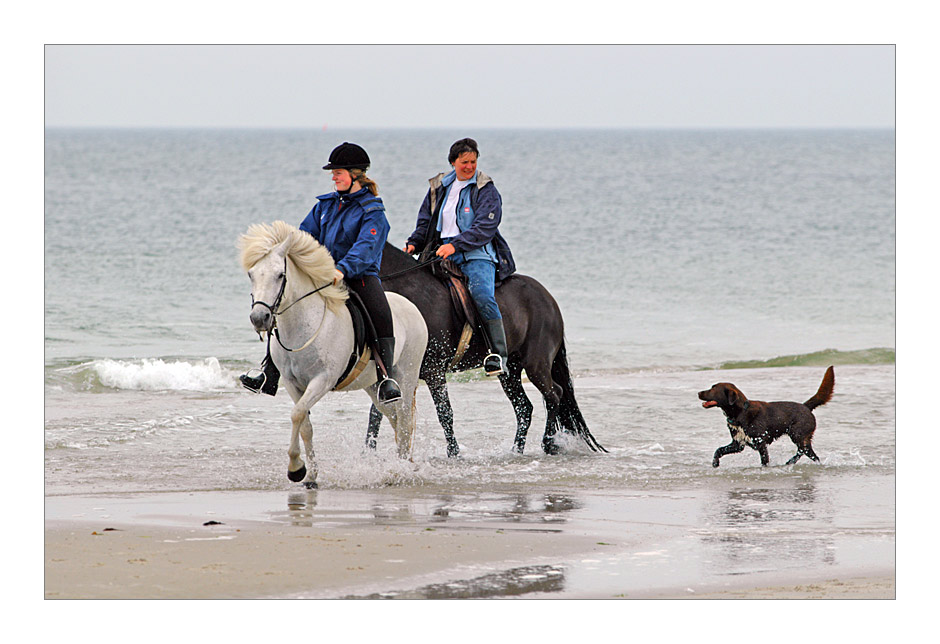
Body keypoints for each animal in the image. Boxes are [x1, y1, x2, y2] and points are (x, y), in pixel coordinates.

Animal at [237, 223, 428, 488]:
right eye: (251, 274)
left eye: (280, 275)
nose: (259, 318)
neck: (303, 325)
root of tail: (412, 307)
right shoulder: (292, 383)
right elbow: (304, 424)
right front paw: (309, 475)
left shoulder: (323, 380)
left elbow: (297, 415)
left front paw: (295, 469)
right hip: (373, 385)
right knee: (395, 419)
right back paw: (403, 465)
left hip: (407, 378)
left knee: (405, 421)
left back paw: (401, 470)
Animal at [364, 242, 604, 458]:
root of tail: (548, 298)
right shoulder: (392, 373)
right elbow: (377, 413)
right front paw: (368, 452)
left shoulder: (434, 370)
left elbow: (444, 413)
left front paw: (454, 453)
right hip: (510, 371)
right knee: (525, 407)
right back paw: (516, 451)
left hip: (537, 364)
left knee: (554, 394)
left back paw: (549, 444)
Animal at [696, 368, 836, 468]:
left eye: (713, 388)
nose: (698, 392)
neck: (740, 412)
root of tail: (806, 406)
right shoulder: (738, 444)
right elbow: (718, 450)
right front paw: (715, 463)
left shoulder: (761, 443)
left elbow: (764, 461)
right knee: (810, 453)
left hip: (797, 434)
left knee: (804, 450)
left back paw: (791, 461)